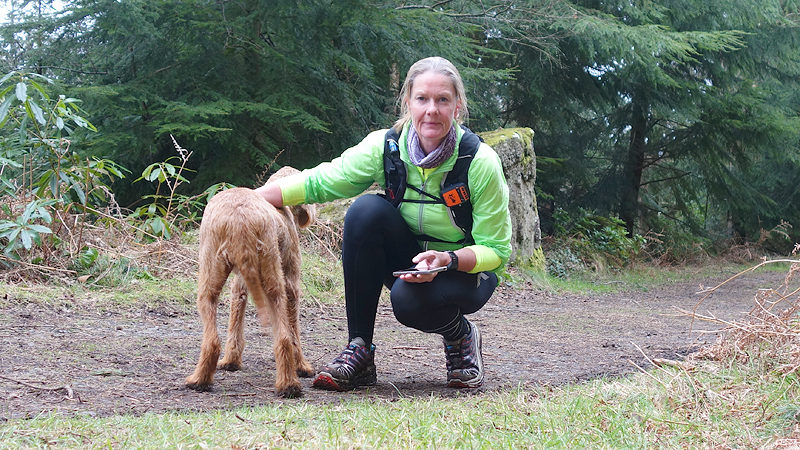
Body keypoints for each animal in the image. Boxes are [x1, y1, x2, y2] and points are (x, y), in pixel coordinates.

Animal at [185, 167, 316, 398]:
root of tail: (240, 218)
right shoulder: (288, 282)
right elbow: (293, 328)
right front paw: (302, 366)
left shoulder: (242, 282)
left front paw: (230, 361)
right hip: (271, 276)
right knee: (284, 337)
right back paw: (289, 385)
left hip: (215, 272)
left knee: (214, 339)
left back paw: (199, 380)